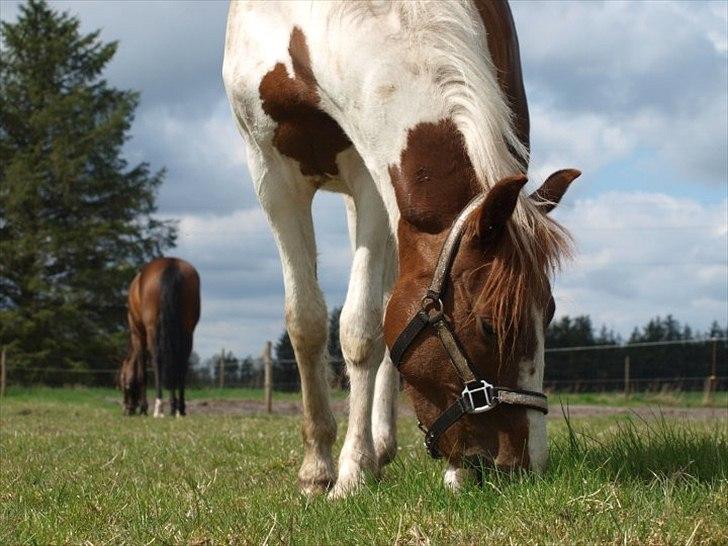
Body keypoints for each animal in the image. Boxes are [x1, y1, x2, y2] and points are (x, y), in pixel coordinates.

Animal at [118, 258, 199, 414]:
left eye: (123, 382)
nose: (126, 409)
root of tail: (170, 263)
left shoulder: (138, 334)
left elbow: (142, 371)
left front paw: (143, 408)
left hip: (152, 330)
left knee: (157, 360)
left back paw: (159, 407)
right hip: (187, 330)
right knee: (181, 361)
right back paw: (178, 409)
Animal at [223, 0, 580, 496]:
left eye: (549, 315)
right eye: (489, 326)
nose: (524, 466)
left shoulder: (371, 175)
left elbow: (361, 328)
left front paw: (355, 470)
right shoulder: (272, 174)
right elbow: (307, 322)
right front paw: (320, 470)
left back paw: (390, 451)